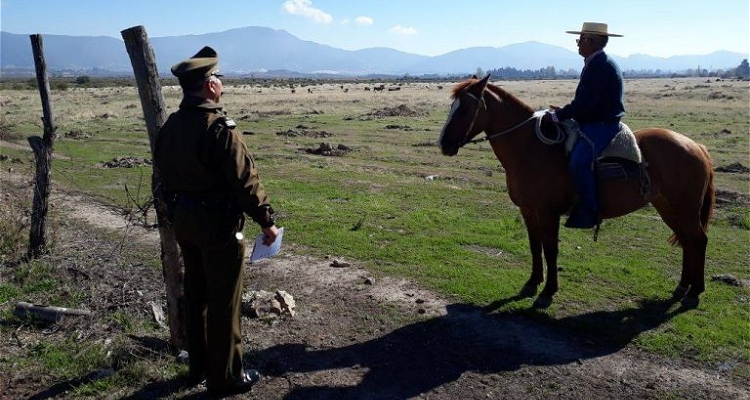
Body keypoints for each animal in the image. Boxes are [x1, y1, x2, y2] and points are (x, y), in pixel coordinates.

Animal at [440, 74, 716, 310]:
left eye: (464, 109)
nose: (443, 144)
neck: (531, 149)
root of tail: (697, 147)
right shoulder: (528, 211)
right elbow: (534, 246)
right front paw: (531, 283)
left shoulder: (548, 213)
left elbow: (550, 249)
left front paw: (547, 293)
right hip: (669, 207)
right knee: (687, 241)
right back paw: (682, 287)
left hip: (685, 208)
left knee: (699, 240)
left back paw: (694, 292)